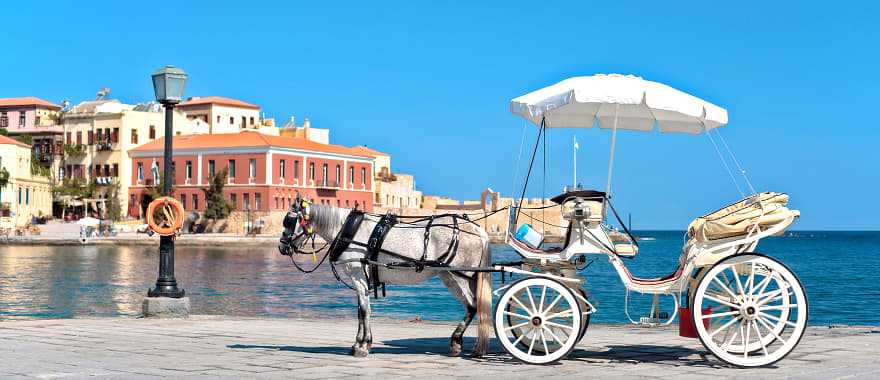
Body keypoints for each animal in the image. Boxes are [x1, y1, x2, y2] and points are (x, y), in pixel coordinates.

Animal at [278, 199, 492, 360]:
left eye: (288, 221)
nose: (282, 247)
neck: (350, 231)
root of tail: (478, 230)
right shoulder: (361, 280)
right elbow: (361, 311)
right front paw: (359, 344)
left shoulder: (358, 276)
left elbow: (364, 311)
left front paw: (362, 346)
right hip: (452, 276)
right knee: (472, 307)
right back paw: (459, 344)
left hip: (460, 275)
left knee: (474, 306)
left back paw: (464, 344)